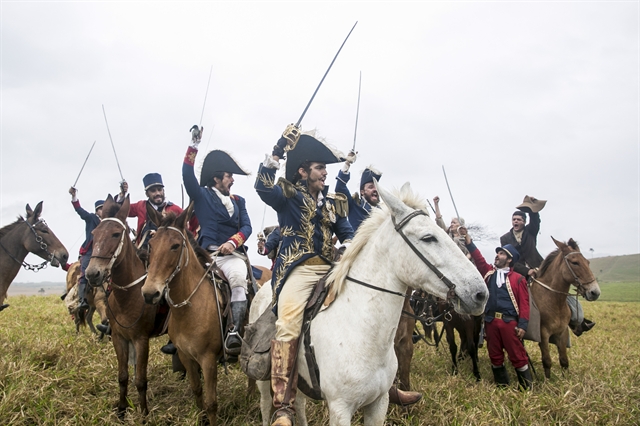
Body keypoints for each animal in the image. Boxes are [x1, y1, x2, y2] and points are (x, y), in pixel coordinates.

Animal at [84, 196, 165, 416]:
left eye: (115, 234)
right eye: (94, 234)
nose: (92, 274)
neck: (128, 295)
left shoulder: (141, 340)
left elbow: (140, 380)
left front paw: (144, 413)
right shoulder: (119, 338)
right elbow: (122, 376)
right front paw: (121, 409)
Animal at [141, 205, 224, 424]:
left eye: (175, 246)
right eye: (151, 244)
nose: (149, 293)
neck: (189, 310)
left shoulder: (208, 360)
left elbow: (212, 403)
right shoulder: (186, 357)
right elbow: (197, 391)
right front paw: (202, 419)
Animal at [250, 184, 484, 426]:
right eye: (428, 237)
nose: (480, 294)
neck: (364, 332)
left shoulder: (379, 403)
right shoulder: (340, 408)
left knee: (299, 403)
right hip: (264, 379)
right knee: (268, 404)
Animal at [528, 236, 600, 380]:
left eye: (587, 262)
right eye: (575, 262)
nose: (595, 292)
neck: (553, 301)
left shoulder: (562, 332)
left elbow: (564, 360)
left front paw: (566, 380)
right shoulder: (543, 334)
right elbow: (547, 360)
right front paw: (547, 381)